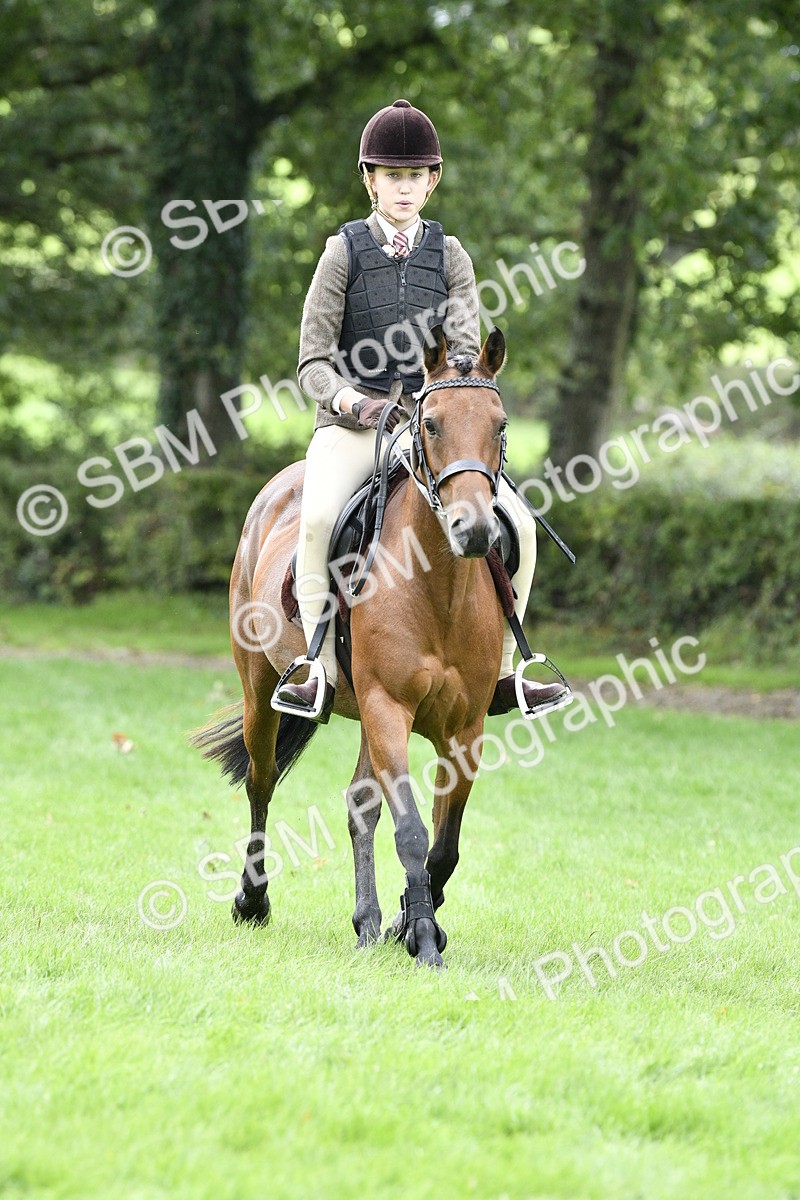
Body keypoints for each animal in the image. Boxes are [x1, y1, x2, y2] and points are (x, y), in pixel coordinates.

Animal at [192, 324, 512, 968]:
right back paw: (253, 902)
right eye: (431, 423)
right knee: (262, 782)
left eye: (499, 425)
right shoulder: (389, 707)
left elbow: (444, 844)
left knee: (360, 803)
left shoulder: (464, 728)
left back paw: (368, 922)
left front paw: (410, 922)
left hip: (365, 713)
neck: (437, 588)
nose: (474, 531)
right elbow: (412, 830)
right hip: (262, 690)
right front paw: (422, 940)